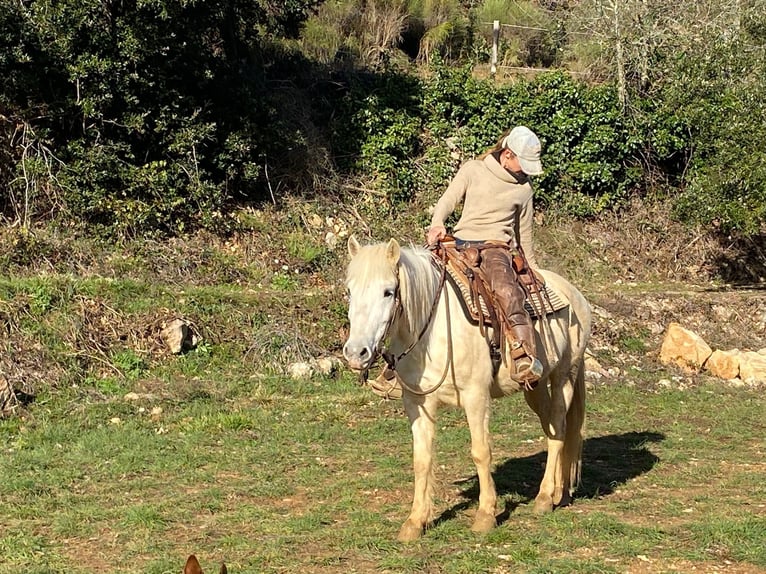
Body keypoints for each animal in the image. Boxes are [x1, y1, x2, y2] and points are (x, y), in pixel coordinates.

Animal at [342, 236, 592, 541]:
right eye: (350, 291)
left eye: (388, 292)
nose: (356, 353)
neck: (433, 330)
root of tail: (574, 294)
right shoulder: (417, 403)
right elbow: (421, 459)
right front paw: (415, 521)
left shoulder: (476, 397)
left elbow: (481, 452)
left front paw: (485, 515)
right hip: (534, 387)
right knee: (551, 428)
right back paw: (560, 491)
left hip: (564, 375)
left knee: (559, 428)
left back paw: (545, 498)